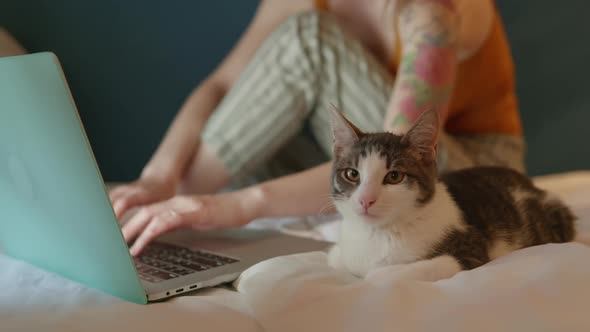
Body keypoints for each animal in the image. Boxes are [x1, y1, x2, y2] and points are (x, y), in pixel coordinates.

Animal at [328, 108, 580, 280]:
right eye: (352, 174)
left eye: (394, 176)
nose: (366, 200)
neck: (378, 233)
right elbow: (338, 257)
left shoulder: (471, 251)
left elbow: (390, 273)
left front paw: (377, 273)